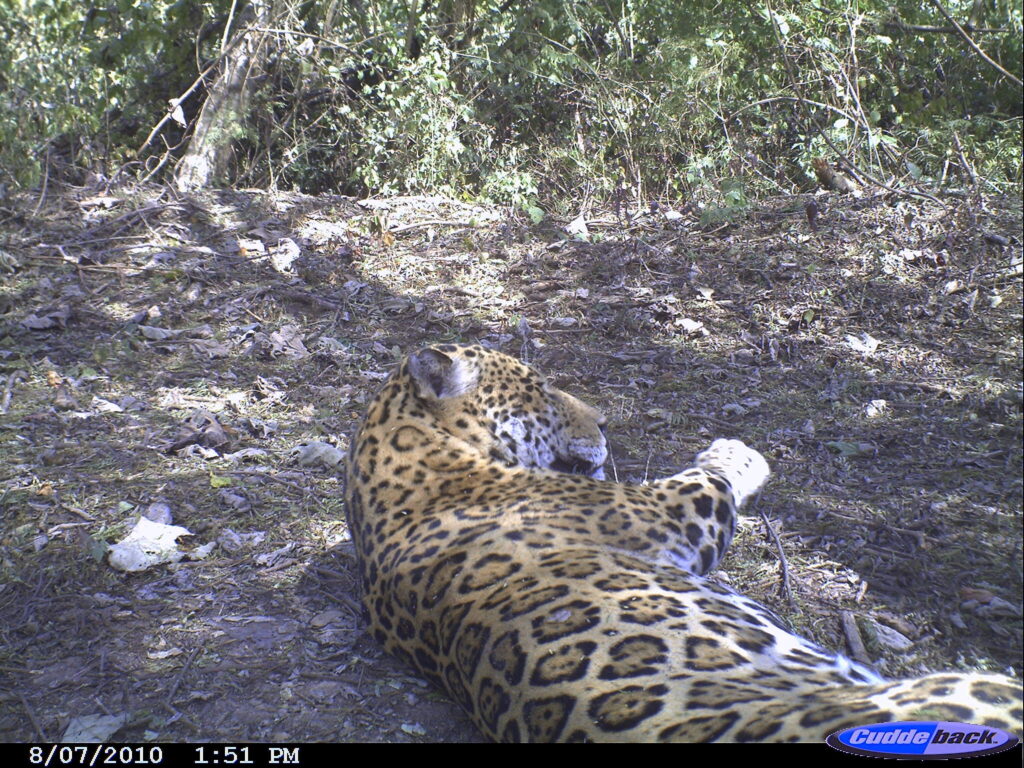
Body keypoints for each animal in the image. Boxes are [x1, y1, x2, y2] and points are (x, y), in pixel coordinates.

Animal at [343, 343, 1023, 742]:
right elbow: (710, 473)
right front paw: (736, 450)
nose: (606, 422)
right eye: (537, 390)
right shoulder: (666, 512)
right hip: (978, 687)